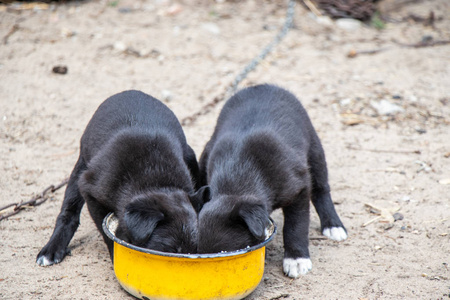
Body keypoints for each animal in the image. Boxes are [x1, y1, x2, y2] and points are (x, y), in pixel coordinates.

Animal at [37, 90, 202, 266]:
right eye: (171, 250)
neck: (157, 181)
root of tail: (130, 92)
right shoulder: (89, 189)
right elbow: (107, 234)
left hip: (190, 156)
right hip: (80, 169)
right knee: (69, 212)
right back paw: (52, 249)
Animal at [197, 84, 348, 276]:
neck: (238, 175)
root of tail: (262, 85)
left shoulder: (299, 189)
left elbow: (295, 226)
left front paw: (296, 259)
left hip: (315, 150)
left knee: (322, 190)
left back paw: (333, 225)